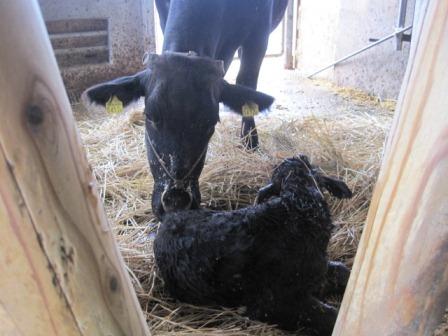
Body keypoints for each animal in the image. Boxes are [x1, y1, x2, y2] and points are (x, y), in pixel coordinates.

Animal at [83, 0, 288, 218]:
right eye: (150, 115)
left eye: (211, 122)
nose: (176, 202)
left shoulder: (259, 35)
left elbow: (247, 81)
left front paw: (250, 141)